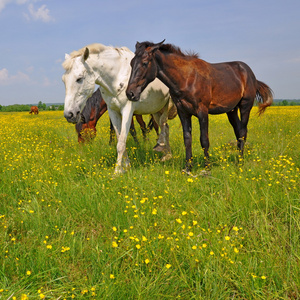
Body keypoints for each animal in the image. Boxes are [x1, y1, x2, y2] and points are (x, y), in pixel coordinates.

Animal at [62, 42, 177, 173]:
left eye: (79, 79)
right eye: (64, 80)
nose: (69, 114)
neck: (118, 77)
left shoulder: (128, 110)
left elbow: (122, 141)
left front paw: (117, 171)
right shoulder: (113, 111)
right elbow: (119, 138)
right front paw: (126, 166)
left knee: (163, 126)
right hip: (156, 110)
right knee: (165, 127)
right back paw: (166, 155)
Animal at [125, 41, 274, 175]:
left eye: (145, 63)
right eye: (131, 63)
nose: (130, 93)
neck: (187, 78)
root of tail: (250, 74)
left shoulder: (202, 112)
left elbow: (204, 140)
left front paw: (207, 168)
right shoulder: (183, 112)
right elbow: (187, 139)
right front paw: (187, 168)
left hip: (245, 106)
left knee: (242, 132)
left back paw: (240, 163)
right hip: (231, 111)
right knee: (238, 131)